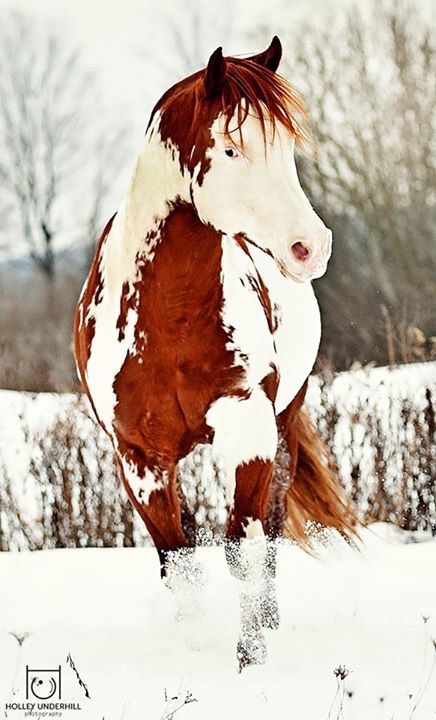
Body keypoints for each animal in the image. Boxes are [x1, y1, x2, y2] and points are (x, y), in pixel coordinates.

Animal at [74, 36, 356, 670]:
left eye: (285, 148)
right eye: (230, 148)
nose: (310, 247)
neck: (169, 321)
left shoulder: (246, 427)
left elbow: (243, 548)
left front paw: (250, 661)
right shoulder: (139, 457)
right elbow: (179, 561)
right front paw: (194, 651)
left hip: (283, 426)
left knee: (269, 531)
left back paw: (270, 624)